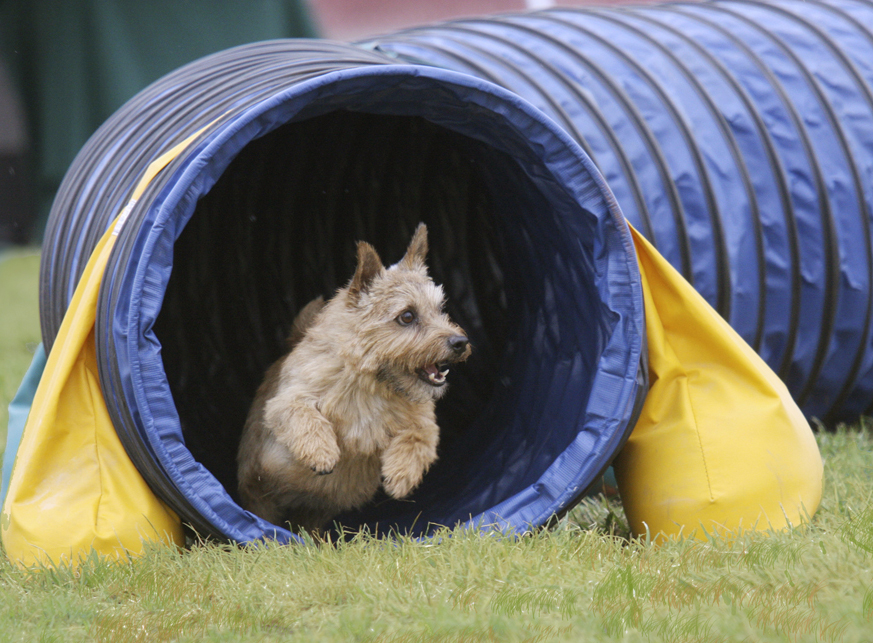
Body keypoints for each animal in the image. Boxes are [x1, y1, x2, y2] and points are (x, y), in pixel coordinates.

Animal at [235, 224, 470, 536]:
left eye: (441, 309)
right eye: (407, 316)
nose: (461, 342)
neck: (374, 383)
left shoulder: (423, 420)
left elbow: (419, 438)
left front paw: (400, 476)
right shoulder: (285, 402)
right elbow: (306, 416)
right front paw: (322, 453)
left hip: (317, 510)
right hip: (259, 494)